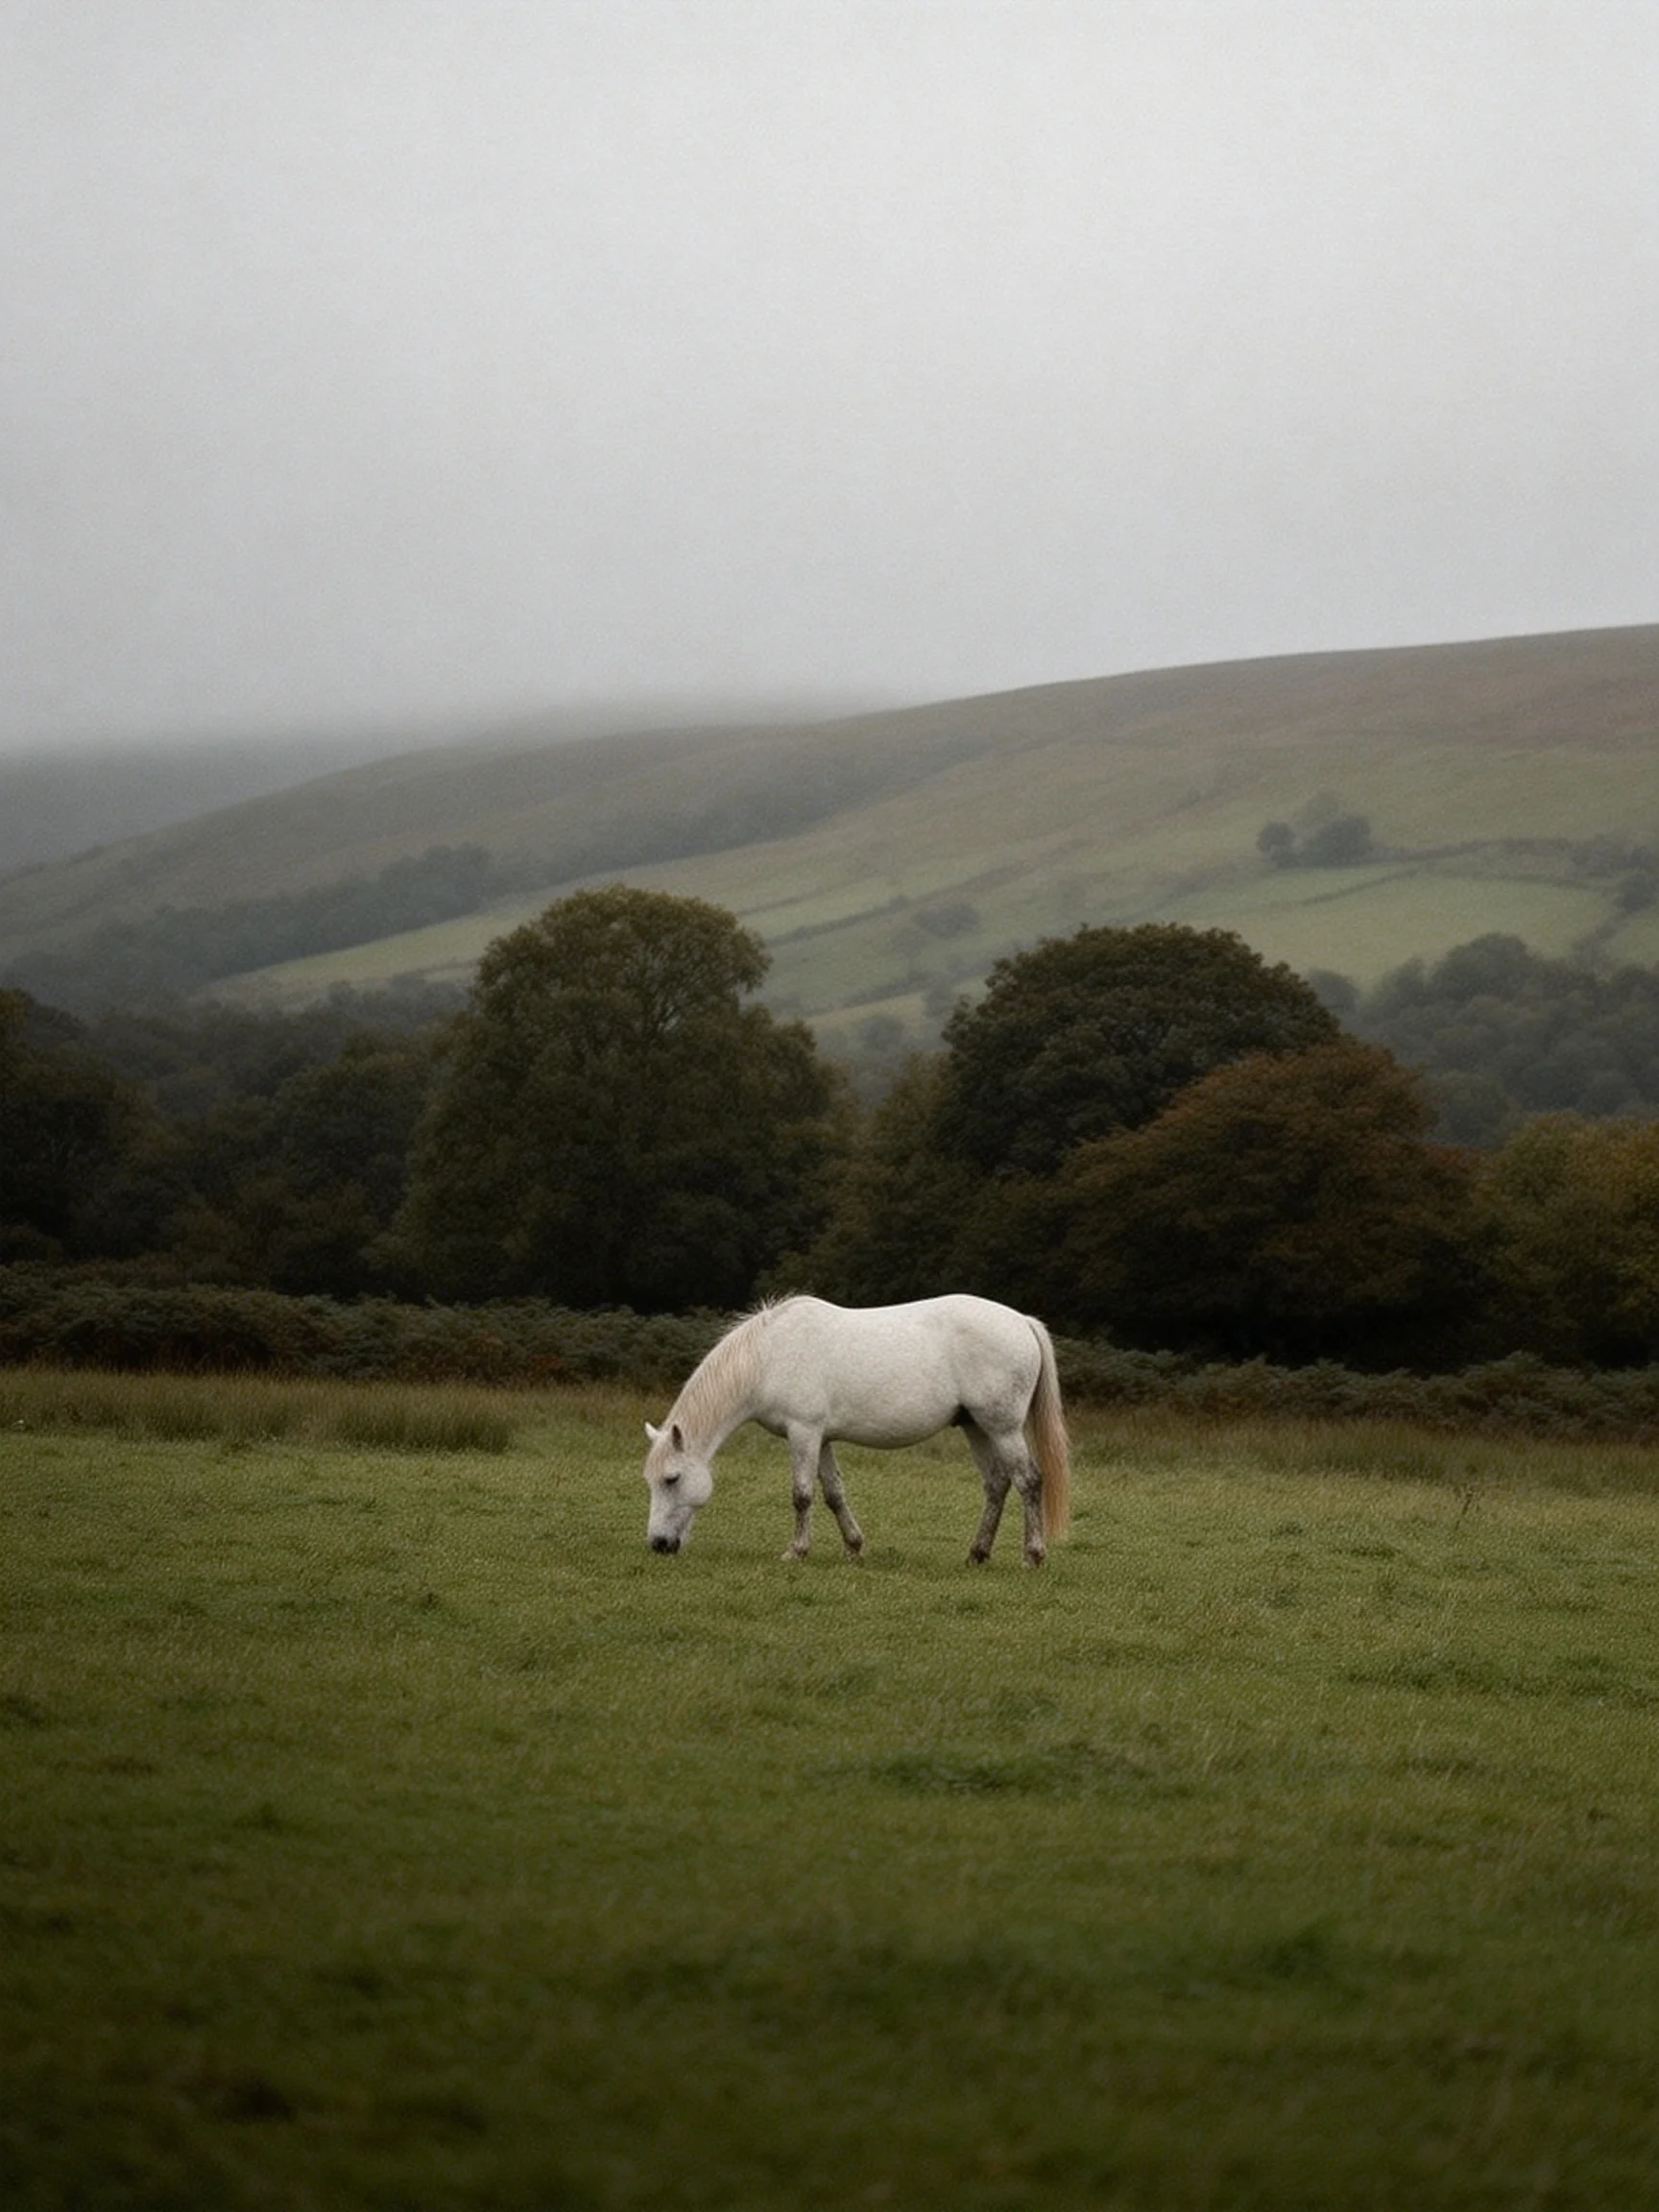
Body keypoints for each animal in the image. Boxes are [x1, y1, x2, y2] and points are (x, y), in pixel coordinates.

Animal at [642, 1294, 1070, 1565]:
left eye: (671, 1478)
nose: (658, 1544)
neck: (769, 1356)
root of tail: (1022, 1322)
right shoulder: (822, 1438)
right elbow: (834, 1494)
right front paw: (853, 1547)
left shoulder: (803, 1433)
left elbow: (802, 1495)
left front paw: (796, 1551)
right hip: (977, 1428)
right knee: (997, 1484)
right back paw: (977, 1554)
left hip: (1003, 1428)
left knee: (1029, 1481)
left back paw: (1033, 1555)